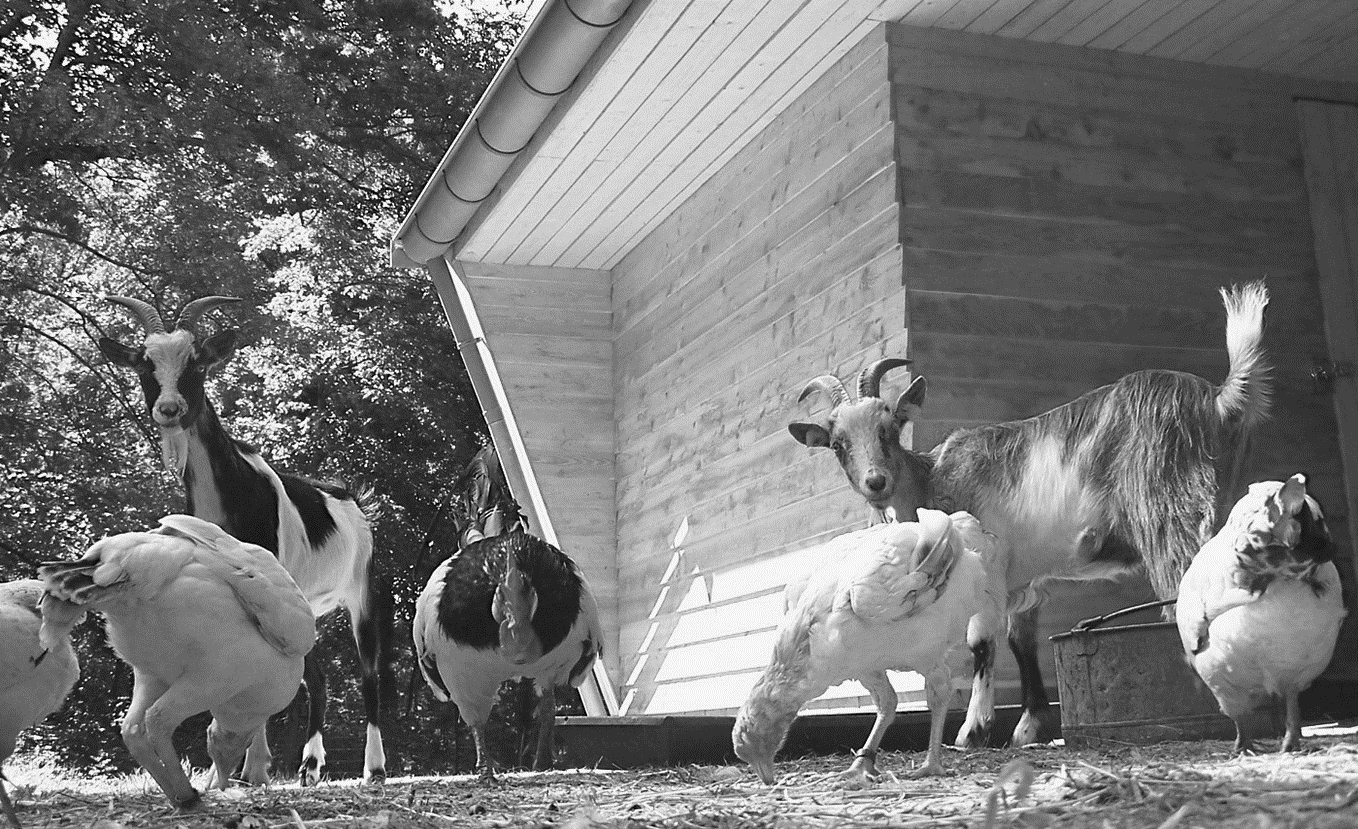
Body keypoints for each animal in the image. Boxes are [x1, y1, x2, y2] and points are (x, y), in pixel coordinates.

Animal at [96, 294, 391, 782]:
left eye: (197, 363)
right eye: (144, 365)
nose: (169, 409)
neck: (233, 490)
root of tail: (352, 499)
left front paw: (251, 768)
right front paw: (247, 767)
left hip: (362, 590)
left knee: (370, 672)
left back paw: (375, 767)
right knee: (319, 676)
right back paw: (310, 765)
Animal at [787, 281, 1271, 744]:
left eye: (891, 428)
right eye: (837, 445)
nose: (876, 481)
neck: (929, 481)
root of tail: (1217, 399)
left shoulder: (987, 564)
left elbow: (981, 643)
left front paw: (973, 730)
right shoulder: (1024, 581)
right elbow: (1021, 642)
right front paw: (1029, 727)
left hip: (1169, 512)